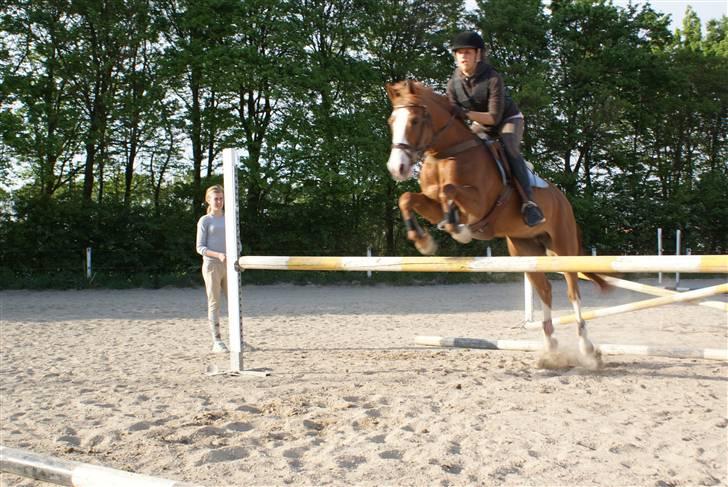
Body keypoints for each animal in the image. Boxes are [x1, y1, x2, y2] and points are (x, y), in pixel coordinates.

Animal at [386, 79, 608, 362]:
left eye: (414, 120)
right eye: (392, 121)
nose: (397, 168)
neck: (446, 154)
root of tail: (563, 199)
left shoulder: (478, 204)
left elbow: (450, 190)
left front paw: (459, 230)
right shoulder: (431, 203)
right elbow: (407, 198)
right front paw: (423, 241)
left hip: (563, 247)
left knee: (573, 291)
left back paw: (587, 348)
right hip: (525, 250)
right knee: (545, 289)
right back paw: (550, 348)